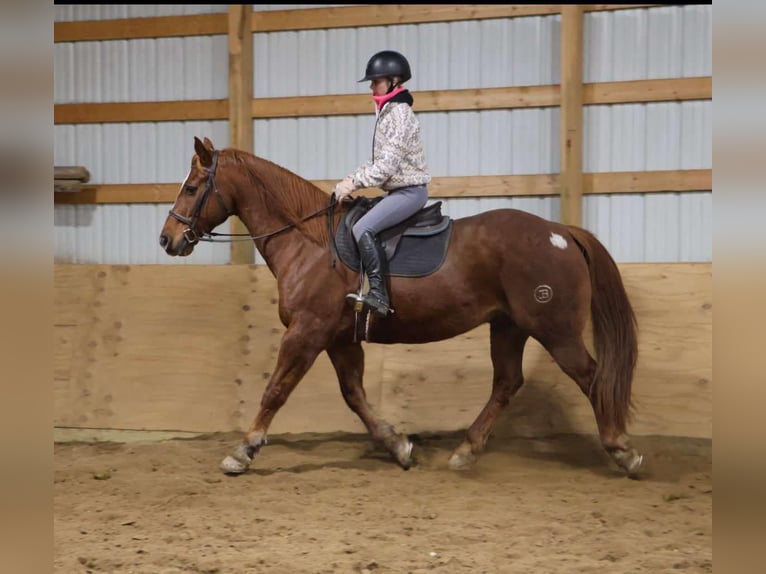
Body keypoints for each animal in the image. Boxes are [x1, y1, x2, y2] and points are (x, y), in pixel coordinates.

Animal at [159, 137, 643, 478]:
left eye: (193, 187)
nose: (167, 239)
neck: (310, 244)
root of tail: (560, 232)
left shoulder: (307, 332)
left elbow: (276, 390)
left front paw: (243, 450)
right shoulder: (338, 339)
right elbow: (354, 395)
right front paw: (399, 446)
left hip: (555, 330)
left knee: (592, 377)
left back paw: (622, 450)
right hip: (508, 326)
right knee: (508, 383)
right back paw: (465, 451)